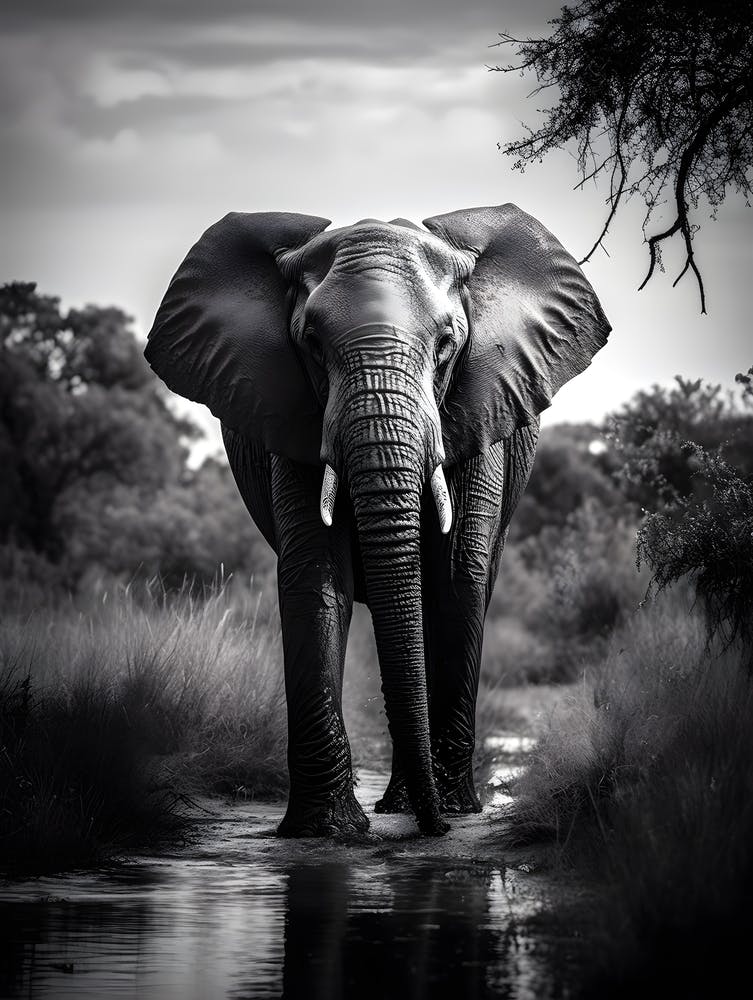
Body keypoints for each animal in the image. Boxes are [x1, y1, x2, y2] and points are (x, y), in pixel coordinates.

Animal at [145, 204, 611, 837]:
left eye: (447, 343)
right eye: (311, 344)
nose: (435, 830)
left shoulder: (481, 404)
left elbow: (456, 579)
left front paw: (448, 812)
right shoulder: (291, 415)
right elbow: (315, 576)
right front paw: (326, 831)